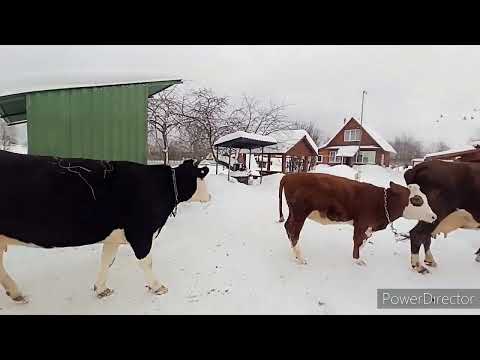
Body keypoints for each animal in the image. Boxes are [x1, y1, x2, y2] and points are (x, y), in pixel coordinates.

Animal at [0, 150, 210, 304]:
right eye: (202, 176)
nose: (210, 196)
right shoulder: (140, 232)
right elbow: (146, 261)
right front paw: (157, 287)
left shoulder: (114, 235)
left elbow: (107, 260)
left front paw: (101, 289)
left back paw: (16, 293)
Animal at [276, 173, 436, 266]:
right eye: (417, 200)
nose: (434, 216)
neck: (381, 201)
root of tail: (290, 175)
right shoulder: (362, 224)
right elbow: (358, 240)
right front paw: (357, 260)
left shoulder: (368, 227)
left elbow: (363, 242)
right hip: (300, 213)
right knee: (293, 230)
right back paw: (300, 257)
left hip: (293, 213)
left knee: (287, 226)